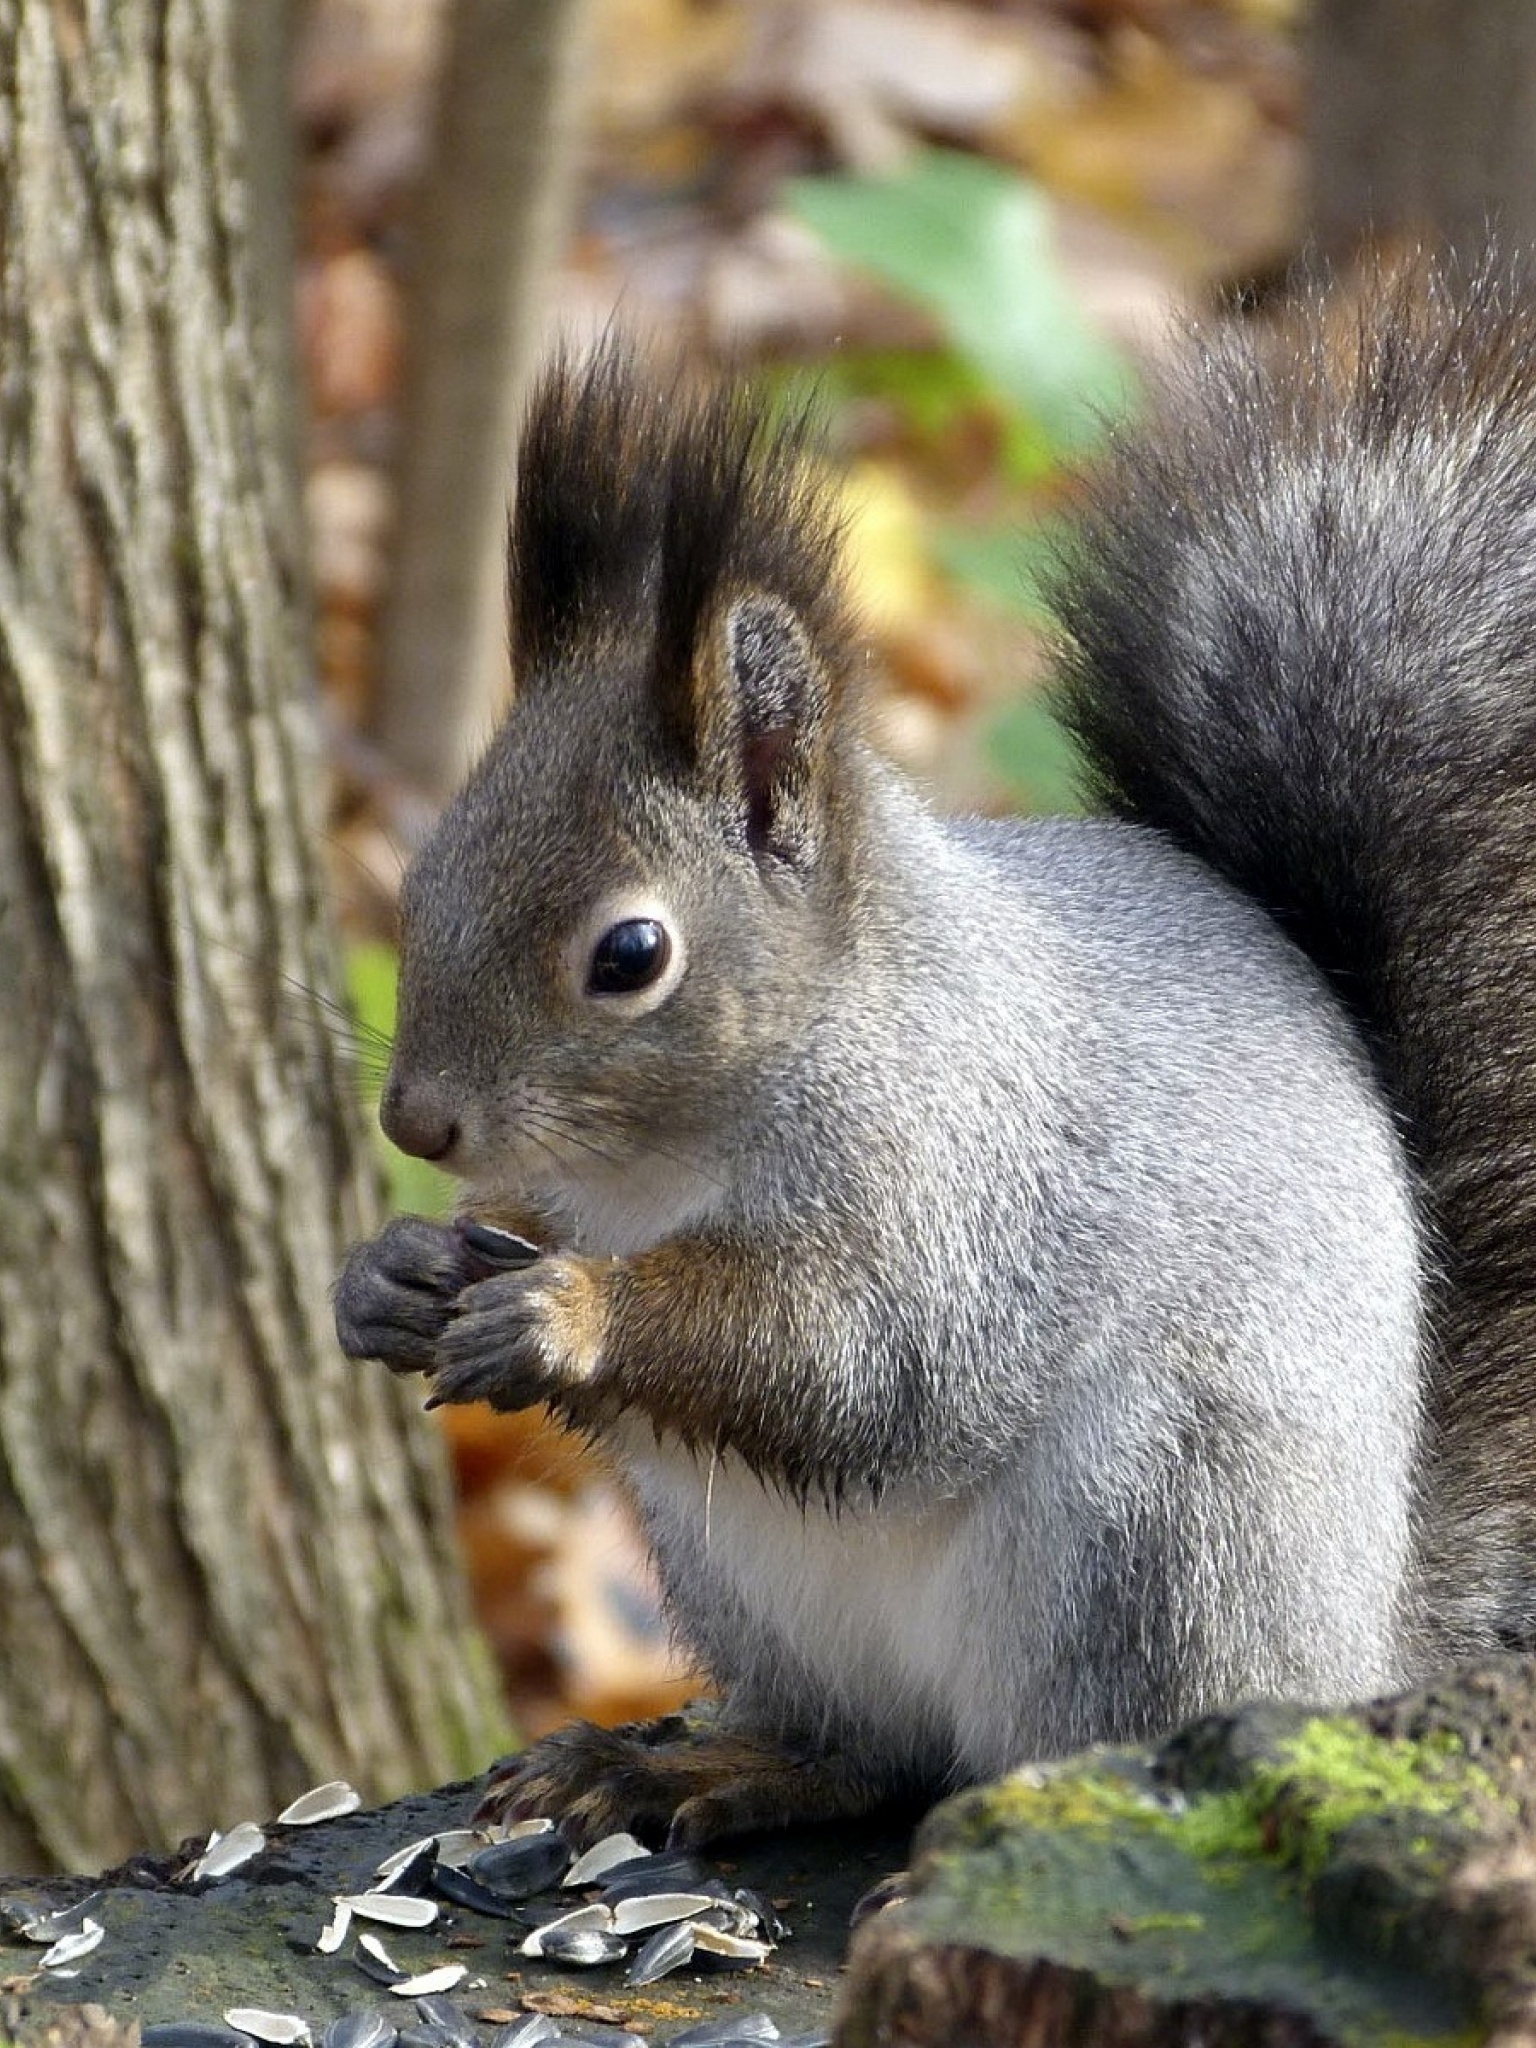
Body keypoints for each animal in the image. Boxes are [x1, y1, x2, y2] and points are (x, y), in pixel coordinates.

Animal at [342, 264, 1536, 1851]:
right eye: (425, 879)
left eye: (630, 954)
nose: (418, 1124)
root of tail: (1357, 1646)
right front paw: (396, 1275)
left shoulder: (959, 1180)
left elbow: (855, 1354)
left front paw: (568, 1314)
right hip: (744, 1576)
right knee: (872, 1753)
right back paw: (699, 1766)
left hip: (1150, 1530)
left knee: (1051, 1752)